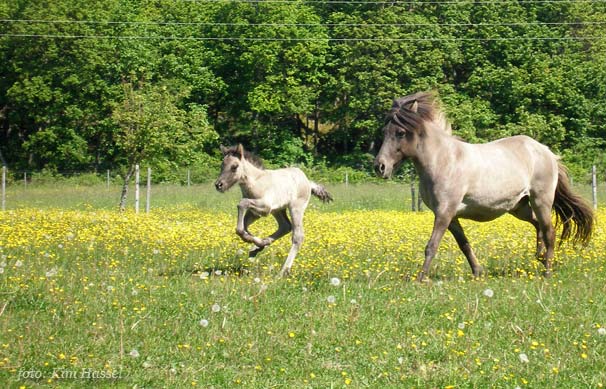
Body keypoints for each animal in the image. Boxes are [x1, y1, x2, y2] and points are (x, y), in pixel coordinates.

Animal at [216, 144, 334, 274]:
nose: (219, 185)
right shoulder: (255, 213)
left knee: (298, 236)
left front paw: (254, 241)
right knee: (285, 226)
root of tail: (308, 181)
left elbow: (242, 205)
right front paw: (257, 243)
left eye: (234, 166)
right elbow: (243, 226)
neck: (255, 183)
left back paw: (283, 272)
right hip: (278, 210)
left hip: (295, 208)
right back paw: (260, 246)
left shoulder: (265, 207)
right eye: (222, 165)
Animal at [376, 91, 592, 278]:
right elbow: (464, 244)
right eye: (384, 131)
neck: (443, 160)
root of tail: (547, 152)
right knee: (538, 225)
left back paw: (547, 270)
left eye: (400, 132)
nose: (380, 166)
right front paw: (478, 272)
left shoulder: (444, 212)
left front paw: (421, 278)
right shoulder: (451, 216)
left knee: (549, 232)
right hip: (519, 206)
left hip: (541, 201)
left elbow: (432, 246)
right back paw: (538, 257)